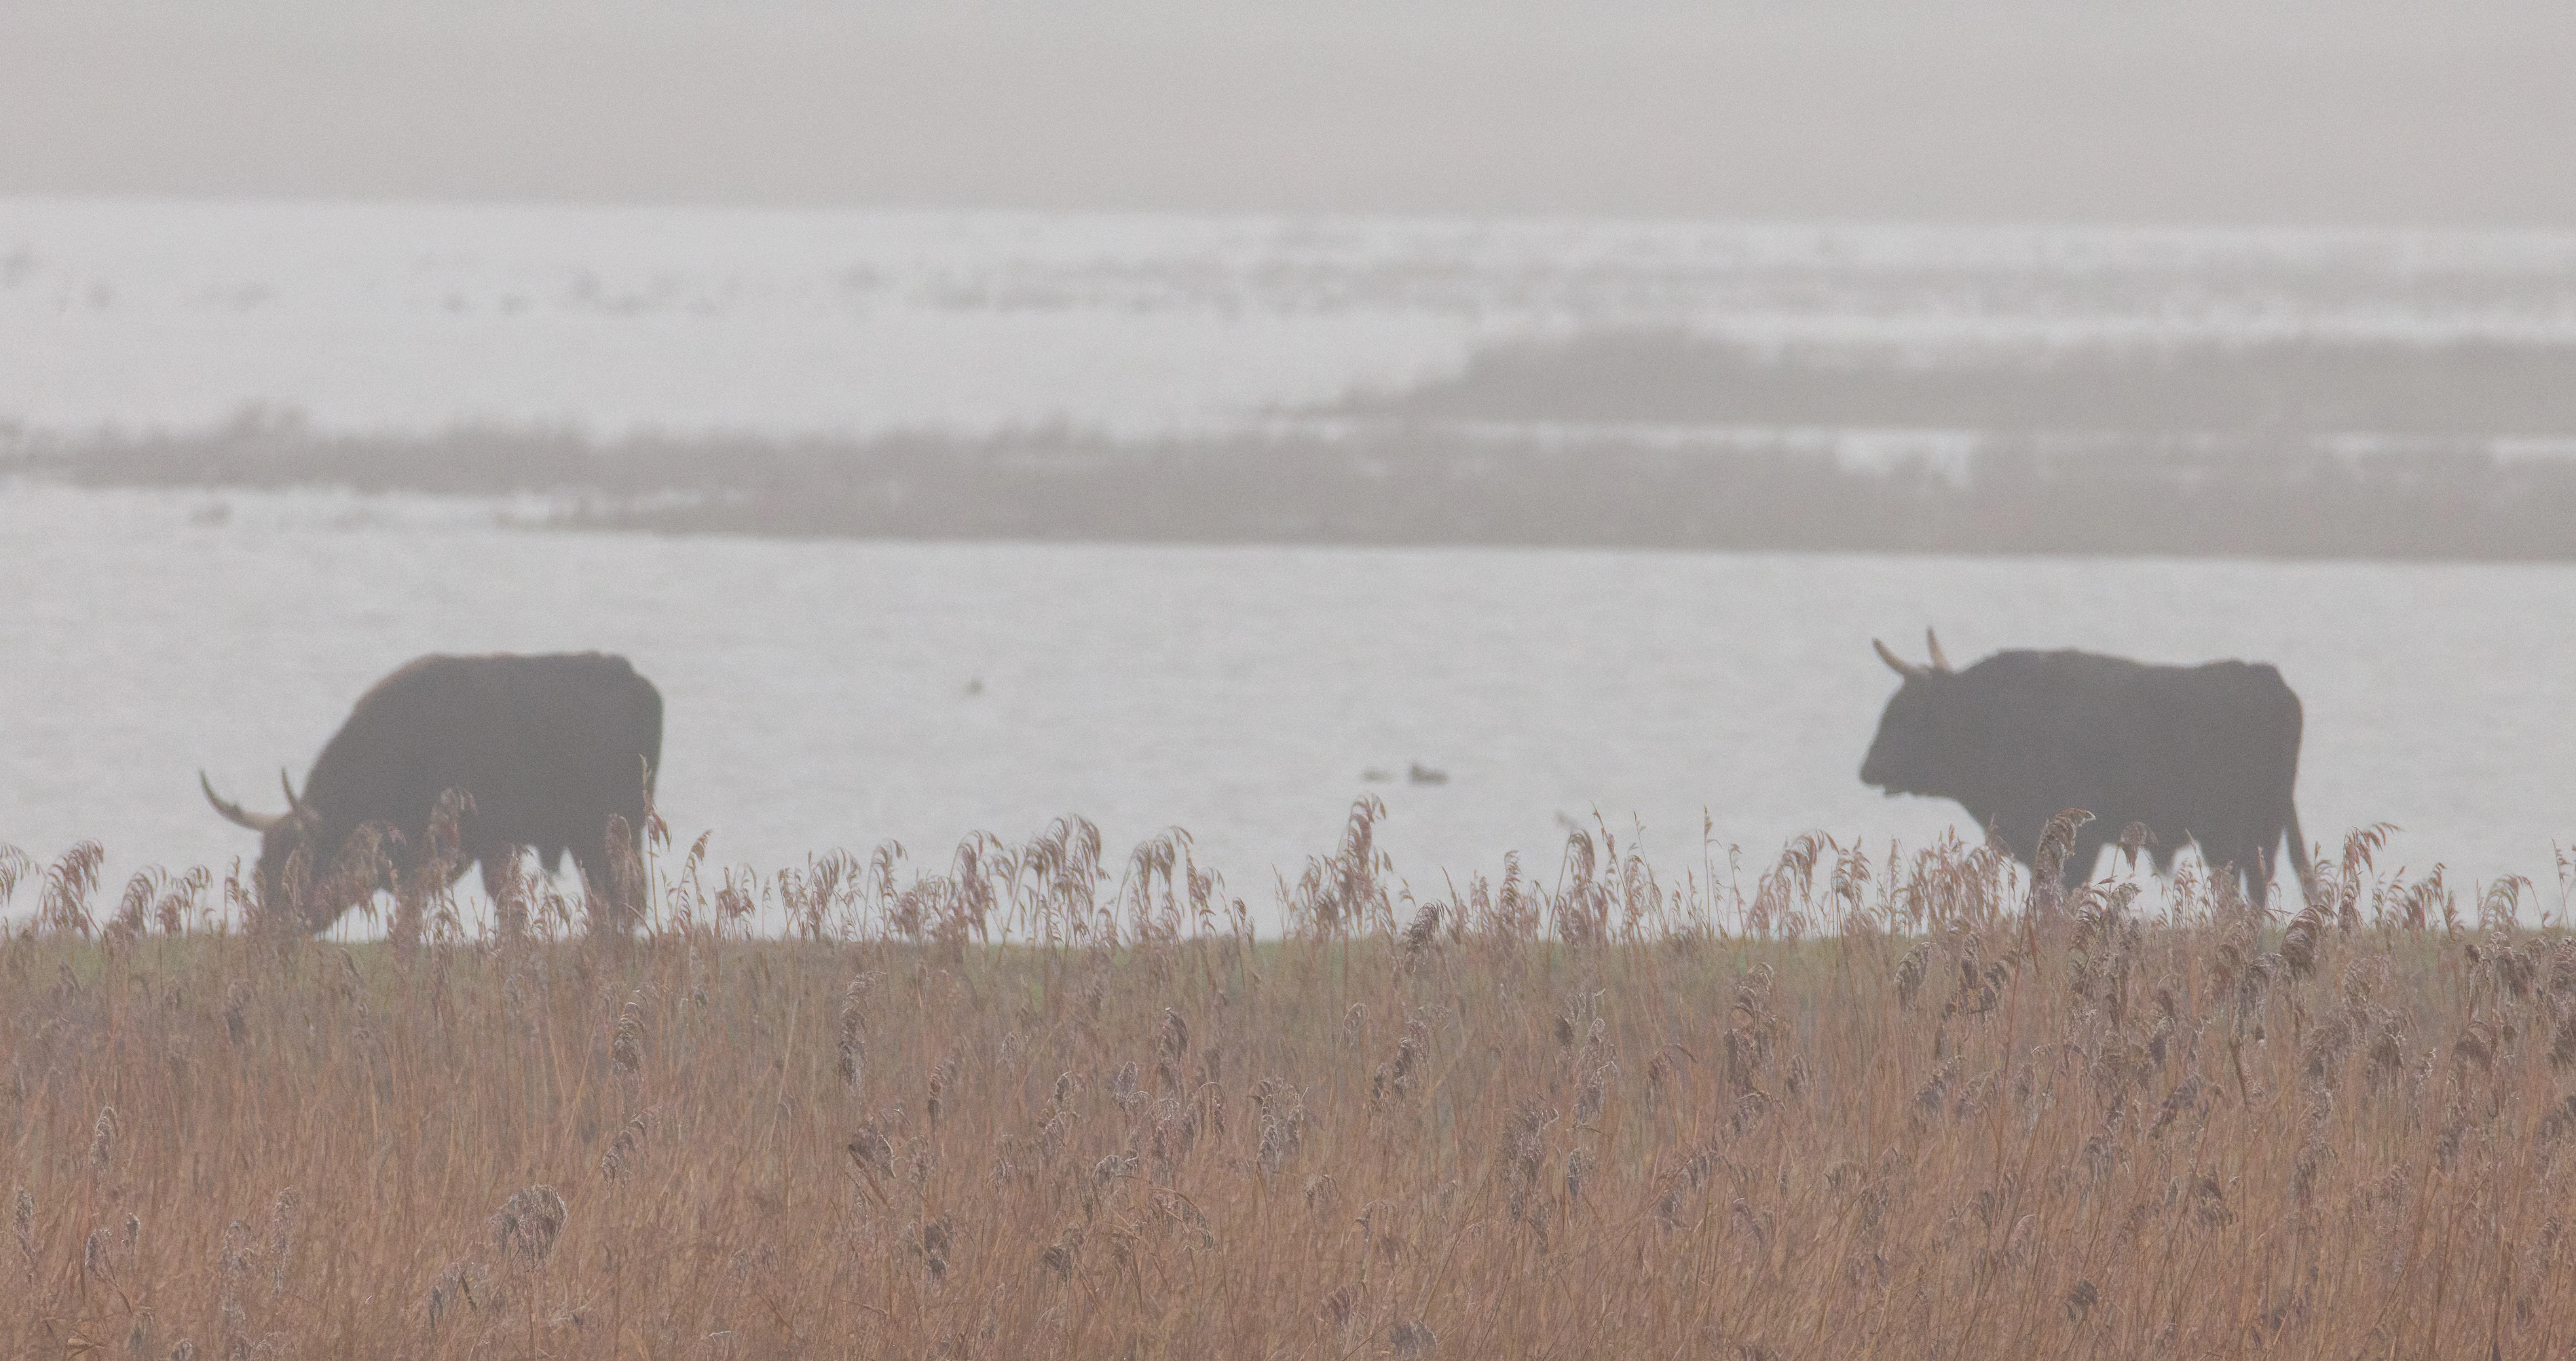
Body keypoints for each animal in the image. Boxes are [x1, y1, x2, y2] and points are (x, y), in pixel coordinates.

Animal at [202, 652, 663, 931]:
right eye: (260, 872)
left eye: (299, 870)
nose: (267, 933)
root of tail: (638, 680)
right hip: (589, 841)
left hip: (617, 831)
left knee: (627, 899)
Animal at [1860, 631, 2310, 902]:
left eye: (1903, 712)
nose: (1867, 767)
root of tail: (2258, 674)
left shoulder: (2070, 840)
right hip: (2260, 833)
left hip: (2224, 833)